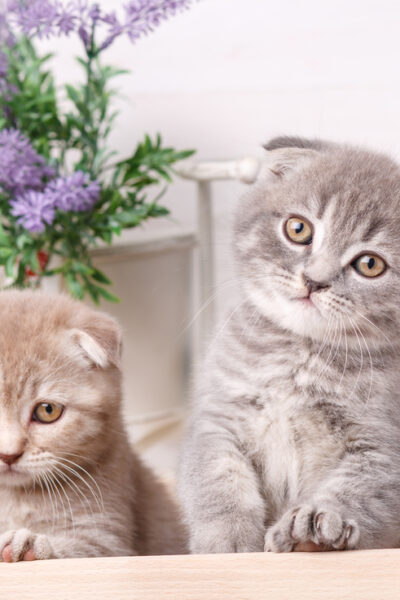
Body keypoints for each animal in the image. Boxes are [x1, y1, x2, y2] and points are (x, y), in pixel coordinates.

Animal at [179, 137, 400, 552]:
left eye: (370, 264)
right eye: (298, 229)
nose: (314, 280)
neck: (301, 354)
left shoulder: (385, 447)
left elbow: (357, 489)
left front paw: (316, 523)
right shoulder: (218, 416)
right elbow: (216, 477)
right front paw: (227, 539)